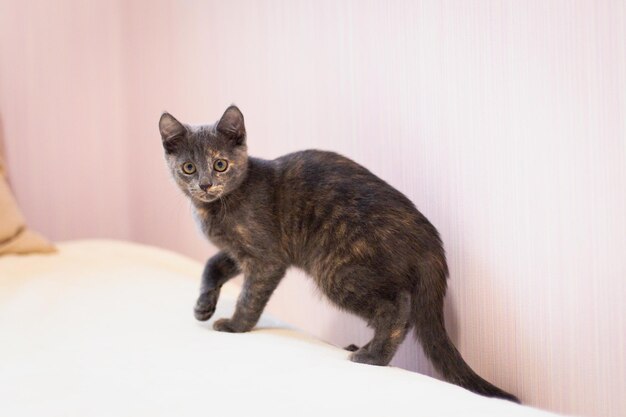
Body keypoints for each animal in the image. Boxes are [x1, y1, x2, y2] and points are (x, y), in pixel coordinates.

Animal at [160, 105, 516, 402]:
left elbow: (250, 295)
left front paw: (236, 326)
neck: (216, 208)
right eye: (188, 168)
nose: (205, 184)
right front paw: (203, 306)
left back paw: (372, 357)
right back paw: (366, 347)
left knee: (398, 307)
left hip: (336, 271)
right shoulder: (239, 251)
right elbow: (212, 264)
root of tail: (432, 241)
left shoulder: (267, 256)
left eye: (220, 164)